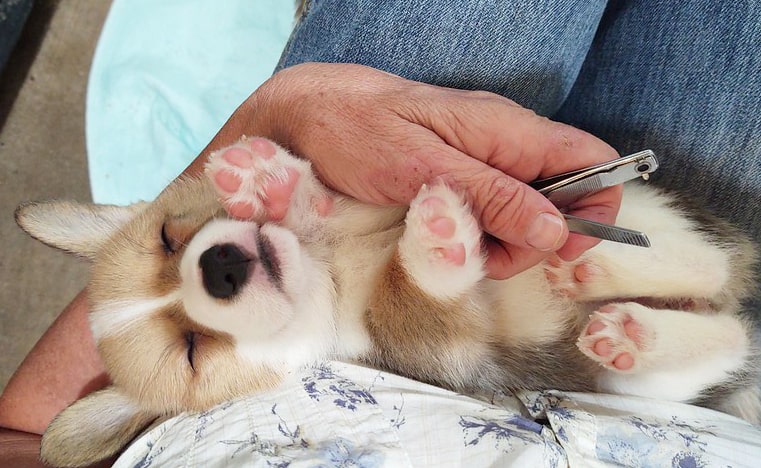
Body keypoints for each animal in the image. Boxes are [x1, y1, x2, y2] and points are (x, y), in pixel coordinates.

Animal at [17, 137, 760, 466]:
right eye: (192, 353)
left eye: (171, 238)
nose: (219, 266)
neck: (334, 273)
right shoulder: (439, 349)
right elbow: (413, 297)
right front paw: (433, 242)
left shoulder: (371, 203)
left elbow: (326, 201)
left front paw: (265, 179)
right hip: (637, 378)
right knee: (723, 326)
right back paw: (617, 313)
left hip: (645, 208)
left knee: (711, 272)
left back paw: (590, 267)